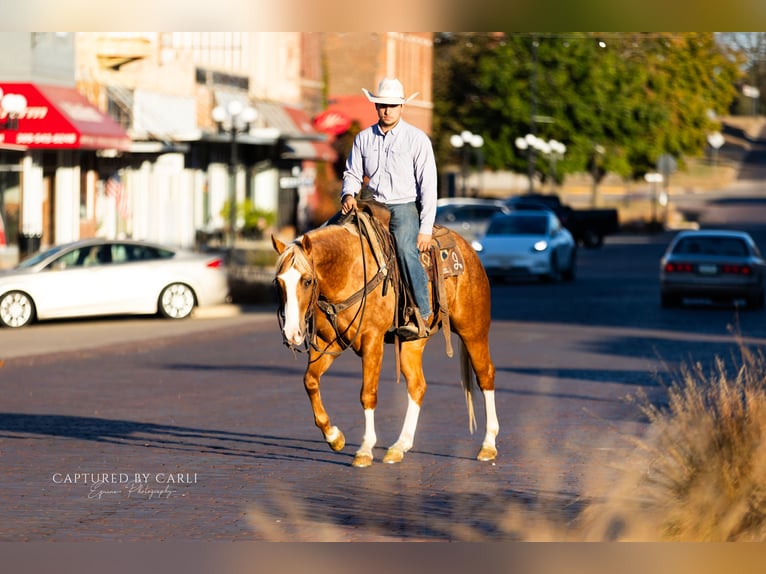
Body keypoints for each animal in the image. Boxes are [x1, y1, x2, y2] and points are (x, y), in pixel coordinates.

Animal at [271, 211, 498, 468]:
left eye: (307, 280)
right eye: (278, 282)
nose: (291, 333)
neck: (348, 271)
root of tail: (467, 248)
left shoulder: (372, 341)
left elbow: (367, 393)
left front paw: (365, 449)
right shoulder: (327, 343)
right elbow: (310, 381)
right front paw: (334, 437)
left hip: (473, 330)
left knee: (485, 375)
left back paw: (488, 445)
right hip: (412, 343)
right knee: (417, 386)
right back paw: (399, 446)